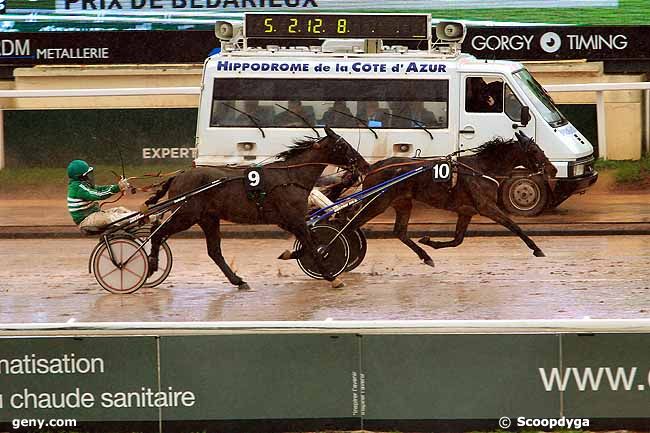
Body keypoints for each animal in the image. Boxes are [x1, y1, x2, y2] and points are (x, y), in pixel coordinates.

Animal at [144, 128, 368, 290]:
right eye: (343, 145)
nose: (364, 163)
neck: (290, 177)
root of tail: (178, 176)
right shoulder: (294, 219)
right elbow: (312, 246)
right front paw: (332, 277)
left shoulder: (288, 221)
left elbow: (309, 243)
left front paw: (289, 254)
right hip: (185, 215)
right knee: (157, 234)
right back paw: (152, 264)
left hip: (208, 219)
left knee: (214, 251)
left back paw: (238, 281)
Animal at [322, 131, 556, 266]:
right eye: (535, 150)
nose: (552, 169)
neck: (482, 169)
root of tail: (372, 168)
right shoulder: (486, 206)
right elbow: (513, 225)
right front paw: (536, 248)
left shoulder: (466, 211)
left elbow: (457, 240)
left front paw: (429, 241)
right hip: (378, 202)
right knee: (350, 222)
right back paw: (327, 250)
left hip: (401, 202)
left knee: (399, 231)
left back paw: (426, 256)